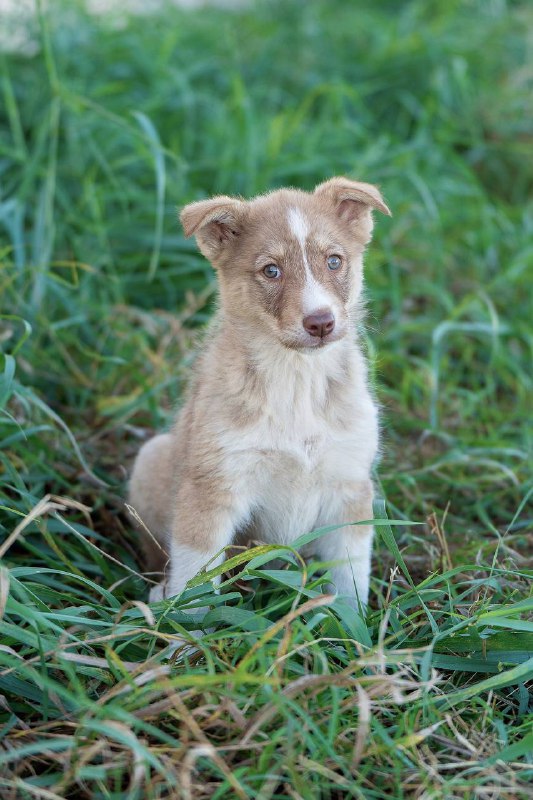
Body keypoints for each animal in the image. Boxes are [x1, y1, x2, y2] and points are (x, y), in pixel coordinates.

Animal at [127, 178, 388, 608]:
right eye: (271, 270)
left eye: (334, 261)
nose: (320, 322)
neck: (297, 379)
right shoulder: (214, 487)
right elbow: (195, 578)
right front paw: (182, 625)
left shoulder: (349, 486)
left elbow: (350, 579)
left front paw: (354, 624)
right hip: (152, 456)